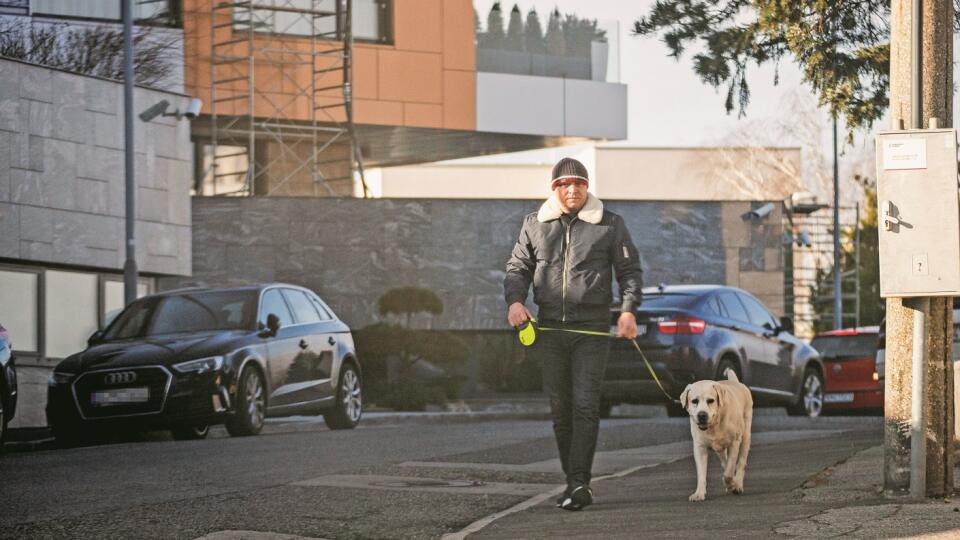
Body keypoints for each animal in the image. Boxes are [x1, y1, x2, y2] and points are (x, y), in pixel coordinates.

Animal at [680, 372, 752, 502]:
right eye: (694, 401)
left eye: (710, 400)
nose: (702, 415)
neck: (714, 425)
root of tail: (736, 382)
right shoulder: (700, 447)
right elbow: (701, 473)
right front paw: (699, 493)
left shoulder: (734, 443)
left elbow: (728, 472)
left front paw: (732, 484)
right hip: (720, 448)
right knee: (724, 461)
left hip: (746, 436)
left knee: (741, 462)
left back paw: (737, 484)